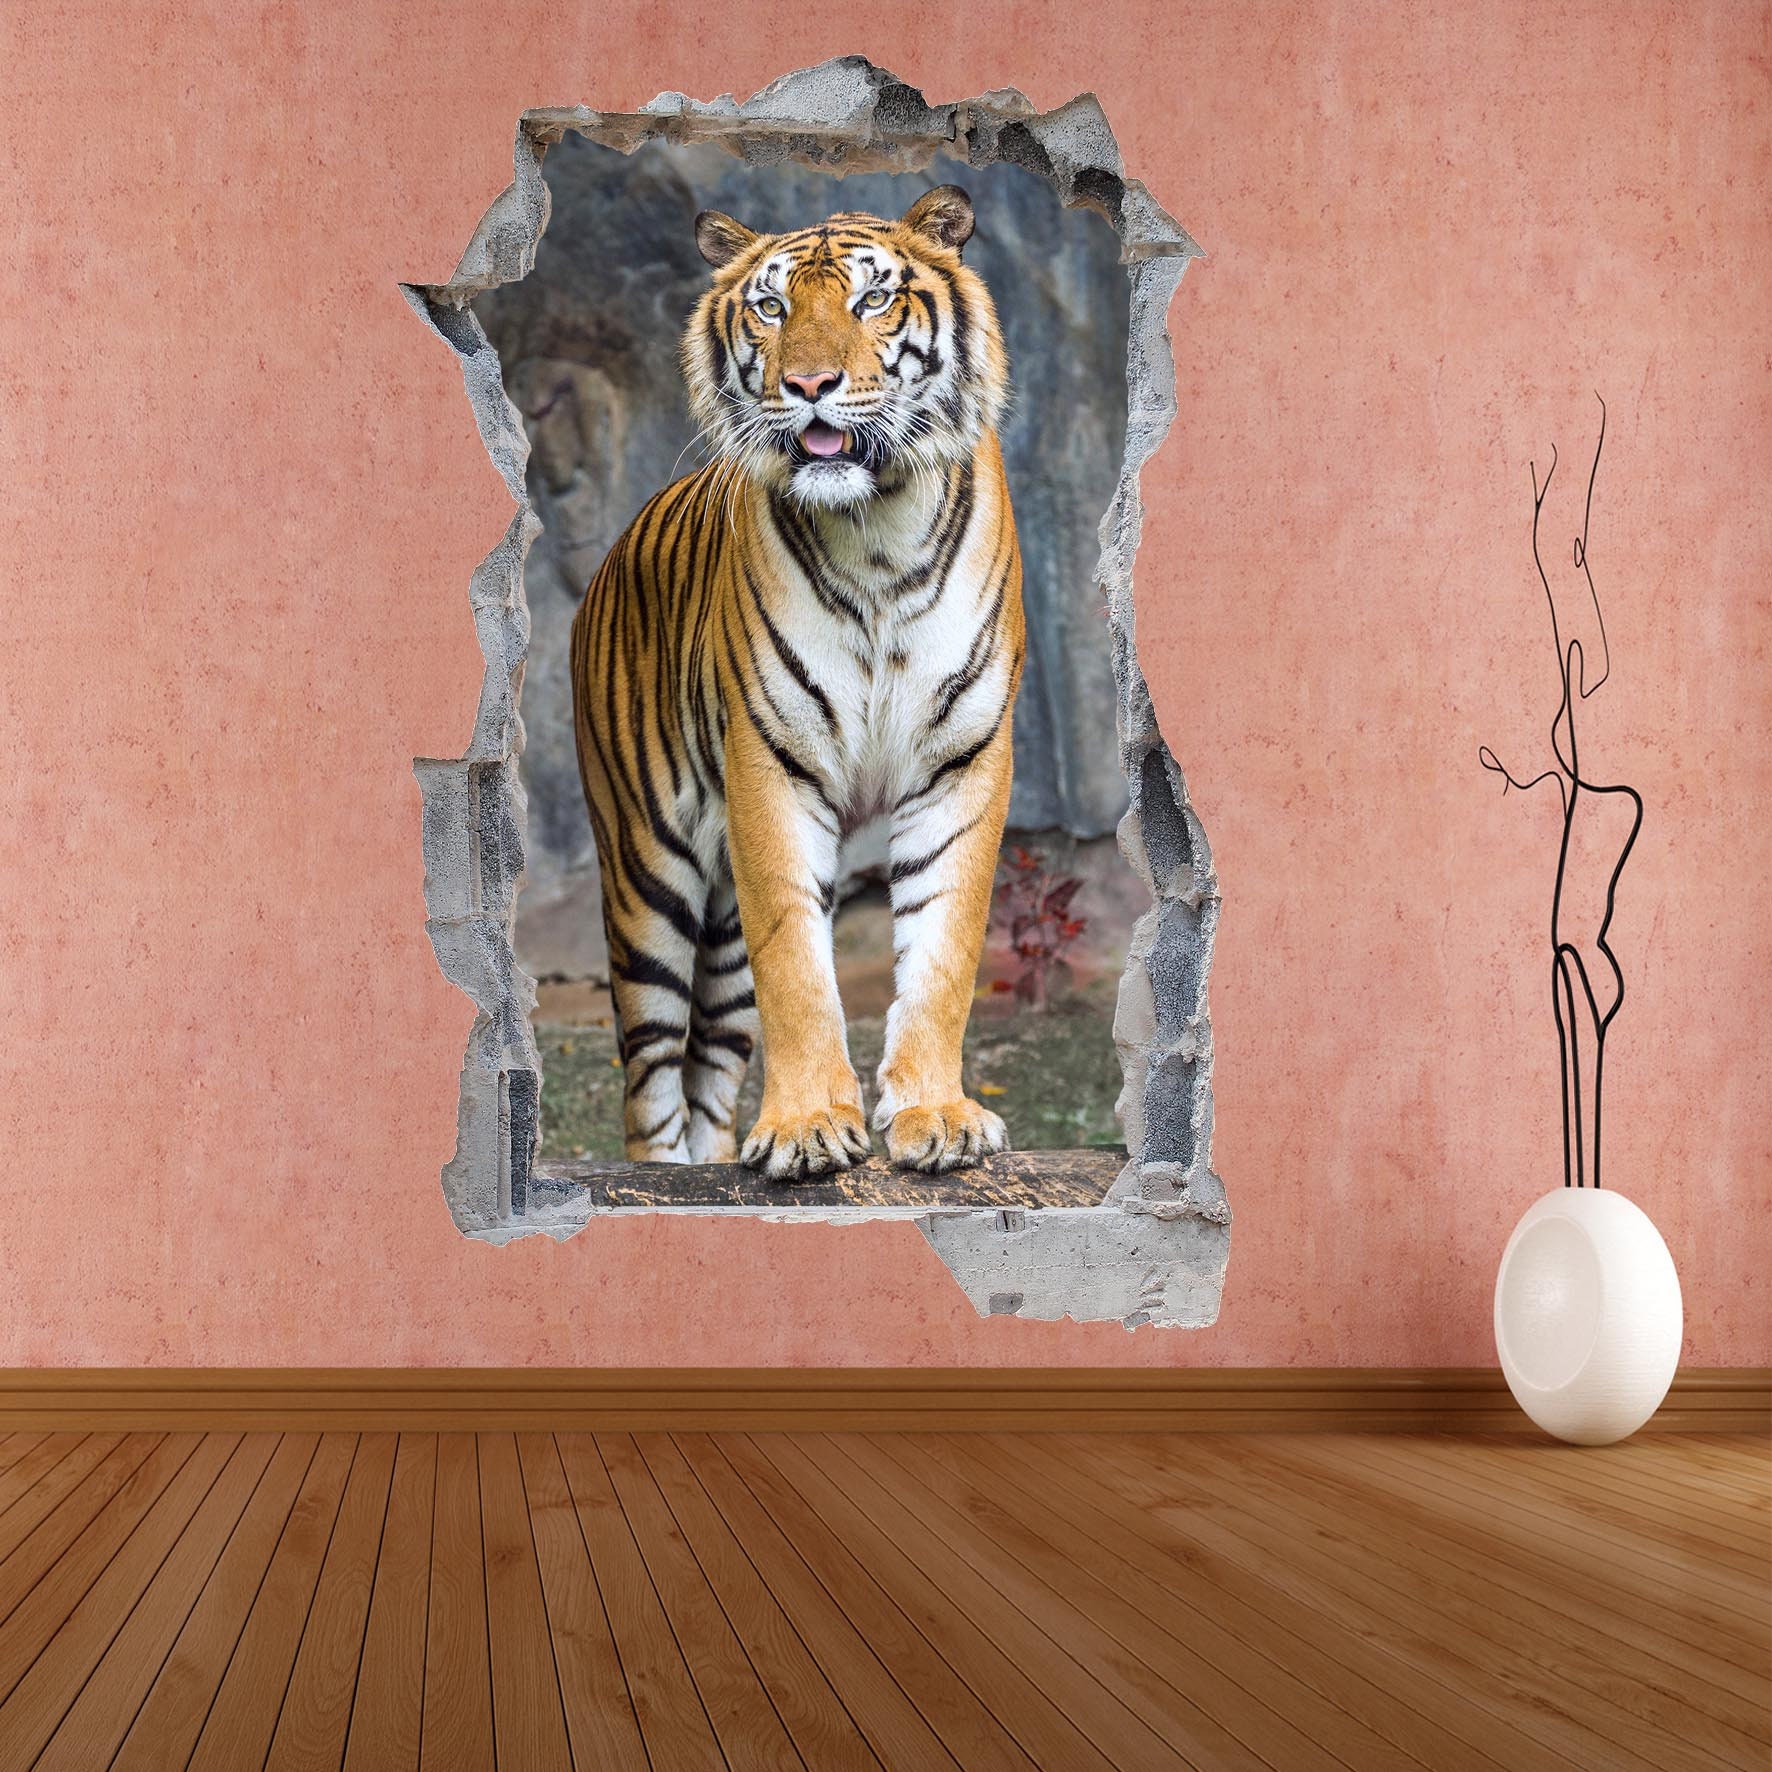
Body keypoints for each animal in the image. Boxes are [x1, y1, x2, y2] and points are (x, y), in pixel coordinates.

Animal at [567, 184, 1025, 1180]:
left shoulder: (962, 760)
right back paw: (662, 1180)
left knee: (708, 1071)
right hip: (646, 876)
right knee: (650, 1082)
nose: (809, 385)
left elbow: (943, 951)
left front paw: (936, 1116)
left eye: (871, 300)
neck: (879, 531)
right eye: (772, 308)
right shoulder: (770, 766)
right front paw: (811, 1125)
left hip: (718, 931)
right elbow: (799, 967)